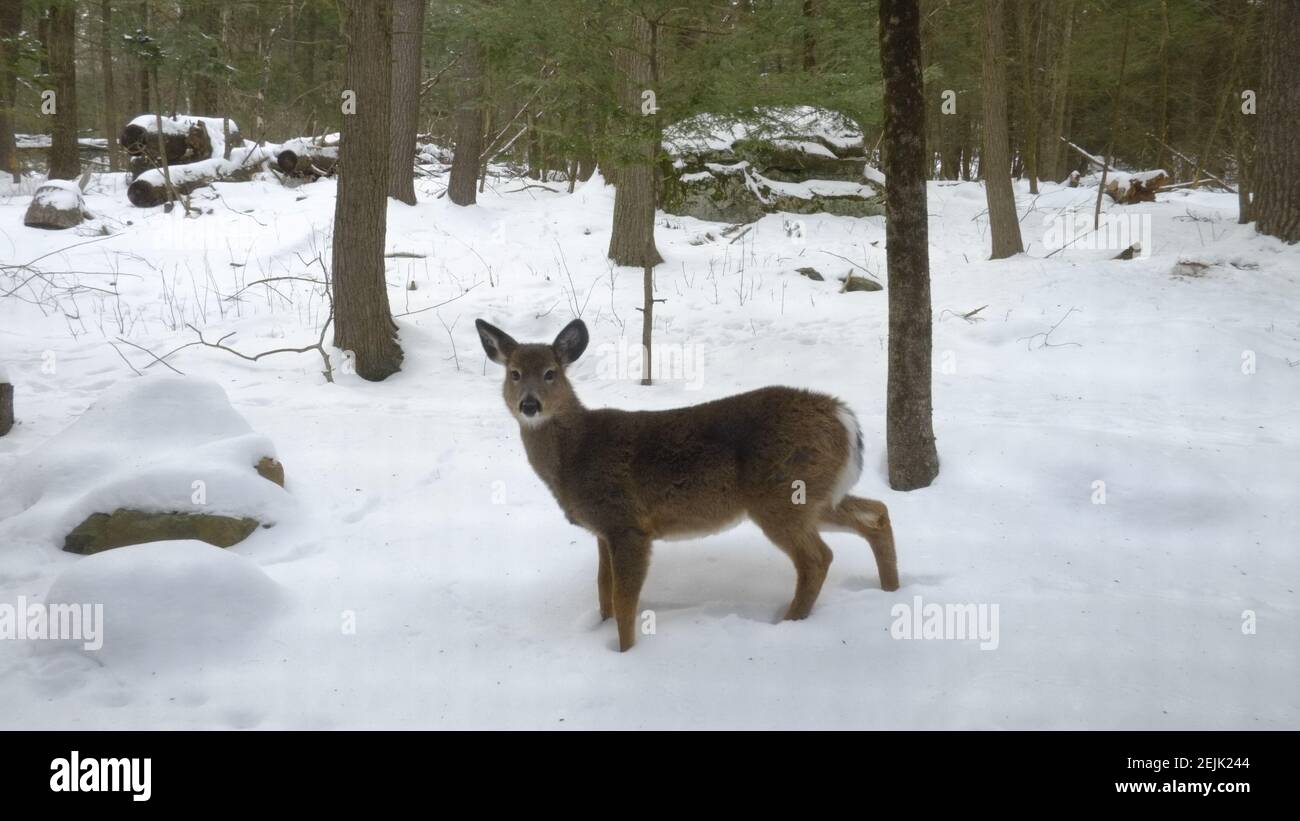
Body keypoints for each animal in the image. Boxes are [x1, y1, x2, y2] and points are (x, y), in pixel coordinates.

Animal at [473, 316, 899, 652]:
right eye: (513, 373)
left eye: (551, 373)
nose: (530, 405)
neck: (575, 456)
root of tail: (843, 417)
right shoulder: (603, 530)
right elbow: (602, 592)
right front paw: (600, 630)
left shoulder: (628, 524)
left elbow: (624, 602)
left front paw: (624, 653)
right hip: (817, 495)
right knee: (877, 513)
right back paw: (891, 589)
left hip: (782, 495)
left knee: (818, 558)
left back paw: (788, 623)